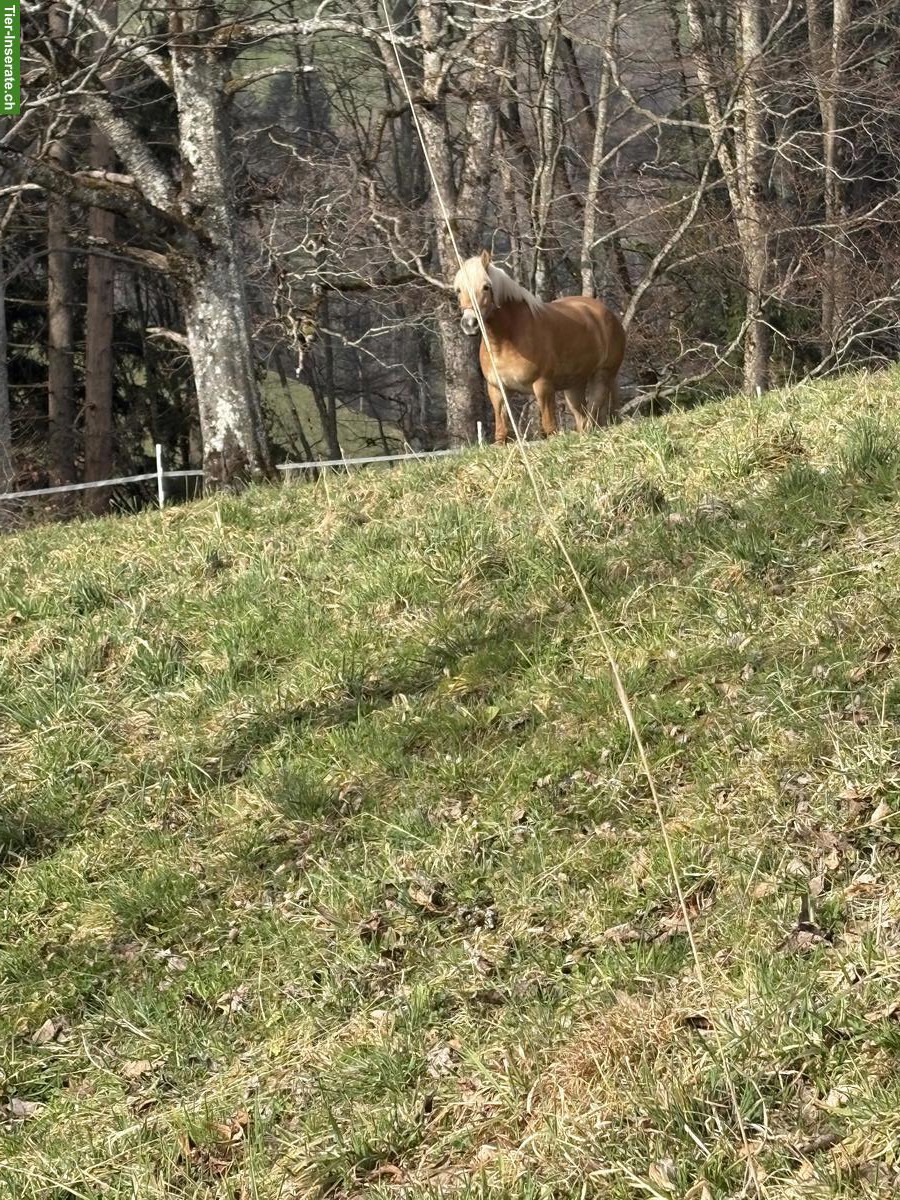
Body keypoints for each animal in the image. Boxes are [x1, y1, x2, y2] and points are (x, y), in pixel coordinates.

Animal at [453, 250, 626, 444]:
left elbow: (550, 427)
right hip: (574, 386)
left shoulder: (542, 386)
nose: (470, 324)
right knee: (582, 420)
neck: (506, 341)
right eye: (458, 290)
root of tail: (606, 313)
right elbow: (501, 433)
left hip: (602, 376)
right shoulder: (497, 390)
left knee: (592, 417)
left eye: (486, 287)